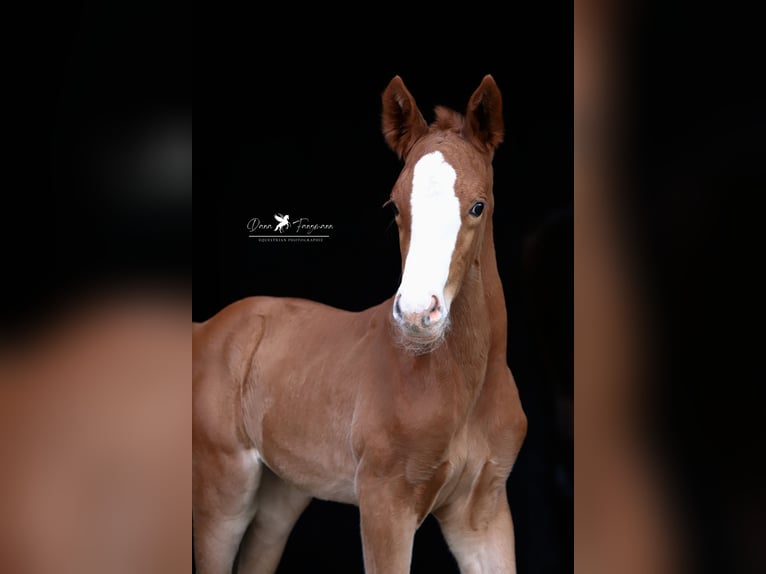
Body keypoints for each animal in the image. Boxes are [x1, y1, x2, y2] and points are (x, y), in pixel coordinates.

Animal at [192, 74, 528, 573]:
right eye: (395, 206)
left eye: (478, 205)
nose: (417, 313)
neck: (463, 387)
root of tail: (207, 327)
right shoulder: (384, 503)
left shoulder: (483, 513)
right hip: (223, 491)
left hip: (281, 494)